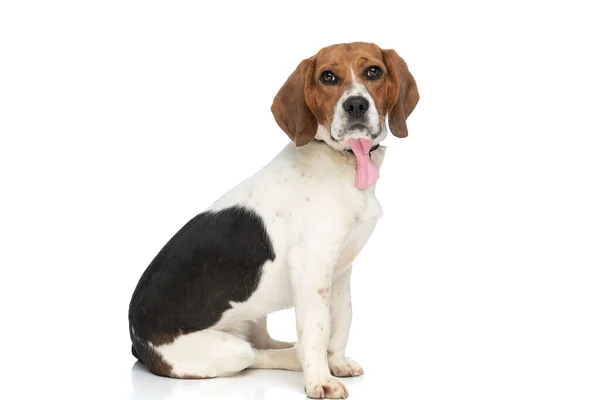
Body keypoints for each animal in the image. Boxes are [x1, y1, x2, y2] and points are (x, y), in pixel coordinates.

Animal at [127, 40, 418, 396]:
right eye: (328, 76)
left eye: (373, 71)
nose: (356, 105)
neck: (345, 160)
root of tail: (137, 340)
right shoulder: (311, 267)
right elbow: (318, 327)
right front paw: (321, 380)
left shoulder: (340, 270)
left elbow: (342, 319)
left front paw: (336, 363)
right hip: (227, 351)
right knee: (254, 355)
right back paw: (296, 357)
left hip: (255, 318)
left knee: (263, 344)